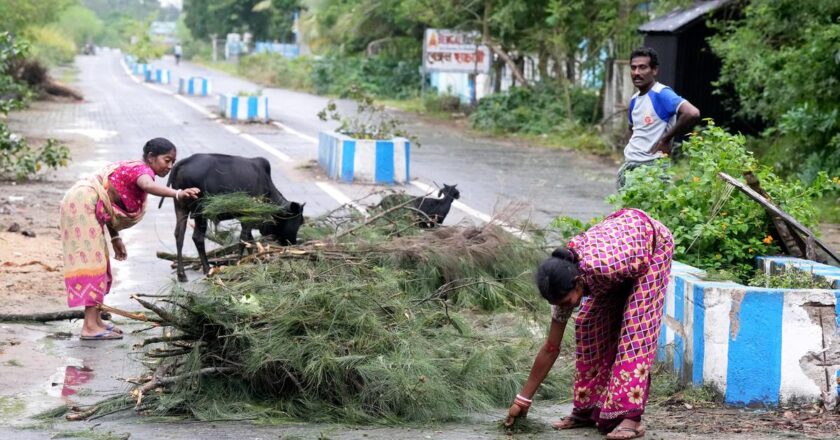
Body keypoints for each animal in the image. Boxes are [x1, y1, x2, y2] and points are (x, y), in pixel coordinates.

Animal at [162, 153, 304, 280]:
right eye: (299, 221)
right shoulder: (249, 216)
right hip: (200, 211)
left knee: (179, 234)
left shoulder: (245, 219)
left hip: (180, 206)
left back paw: (181, 274)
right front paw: (238, 263)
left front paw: (253, 260)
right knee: (197, 237)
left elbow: (250, 241)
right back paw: (207, 269)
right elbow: (243, 240)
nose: (293, 242)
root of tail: (183, 162)